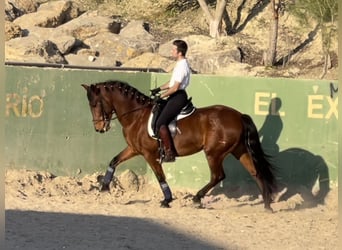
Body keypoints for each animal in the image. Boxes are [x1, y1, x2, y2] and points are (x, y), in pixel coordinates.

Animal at [82, 79, 278, 211]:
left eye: (95, 104)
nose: (99, 128)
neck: (136, 116)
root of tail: (238, 116)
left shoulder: (149, 154)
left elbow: (160, 176)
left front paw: (167, 200)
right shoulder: (134, 149)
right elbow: (114, 161)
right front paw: (104, 187)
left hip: (214, 153)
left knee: (218, 176)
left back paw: (197, 198)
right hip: (239, 150)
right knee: (255, 172)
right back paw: (267, 205)